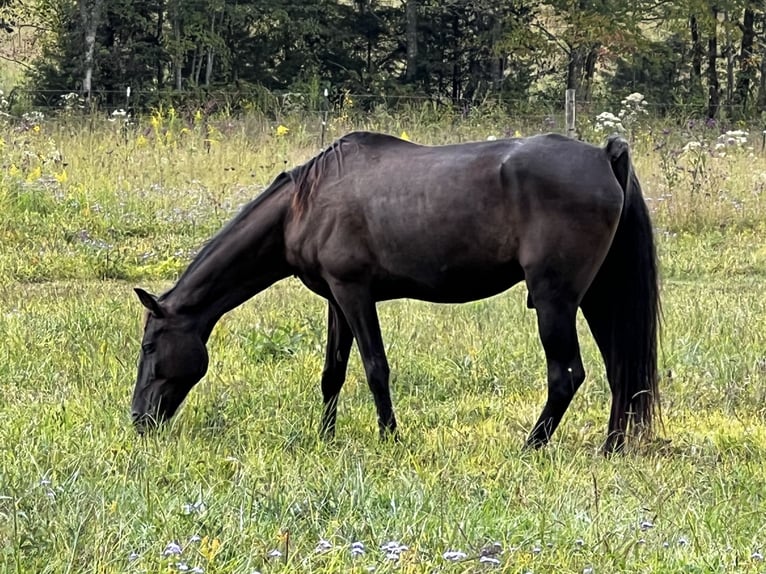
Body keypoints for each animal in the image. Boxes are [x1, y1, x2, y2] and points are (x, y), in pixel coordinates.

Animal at [131, 130, 660, 453]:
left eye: (150, 346)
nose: (138, 419)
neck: (304, 203)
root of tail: (604, 155)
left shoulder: (354, 293)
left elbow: (374, 368)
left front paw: (389, 437)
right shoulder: (335, 299)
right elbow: (333, 373)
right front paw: (326, 437)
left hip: (555, 301)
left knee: (566, 375)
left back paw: (531, 446)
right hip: (596, 297)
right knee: (620, 370)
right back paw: (611, 447)